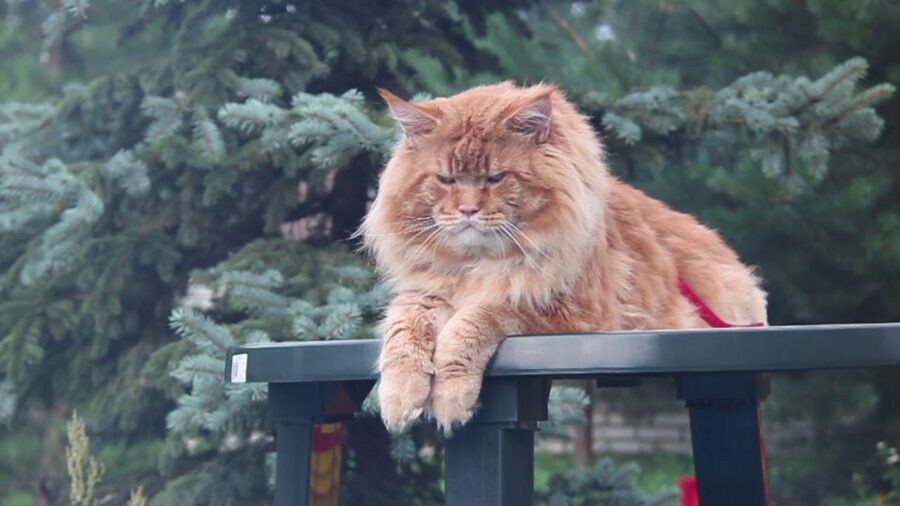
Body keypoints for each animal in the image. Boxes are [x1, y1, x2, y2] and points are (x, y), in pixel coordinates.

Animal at [358, 81, 768, 432]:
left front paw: (450, 397)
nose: (468, 210)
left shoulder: (559, 309)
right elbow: (403, 335)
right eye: (446, 180)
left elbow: (472, 323)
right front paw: (398, 399)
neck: (479, 265)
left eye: (495, 178)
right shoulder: (424, 294)